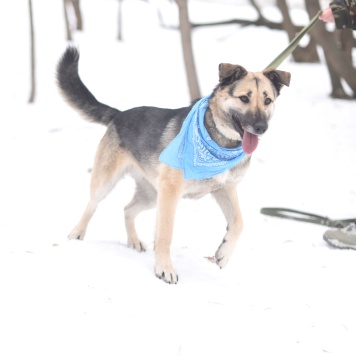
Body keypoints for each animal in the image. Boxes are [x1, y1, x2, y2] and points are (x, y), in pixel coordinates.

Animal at [57, 46, 290, 284]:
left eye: (267, 101)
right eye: (244, 98)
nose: (261, 127)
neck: (218, 141)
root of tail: (119, 114)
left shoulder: (225, 188)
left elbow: (239, 222)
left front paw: (223, 254)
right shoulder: (171, 193)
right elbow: (165, 234)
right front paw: (165, 268)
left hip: (151, 196)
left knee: (127, 209)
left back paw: (134, 241)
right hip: (109, 182)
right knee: (92, 204)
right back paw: (77, 232)